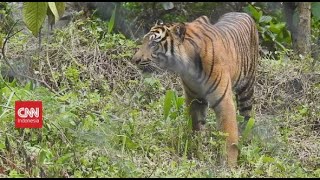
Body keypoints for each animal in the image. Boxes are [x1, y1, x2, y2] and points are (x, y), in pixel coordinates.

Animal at [131, 12, 258, 167]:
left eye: (154, 44)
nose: (134, 60)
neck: (189, 64)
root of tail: (243, 13)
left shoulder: (224, 102)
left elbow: (229, 137)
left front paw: (229, 166)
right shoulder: (195, 99)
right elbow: (196, 128)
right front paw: (197, 153)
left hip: (246, 89)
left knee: (246, 118)